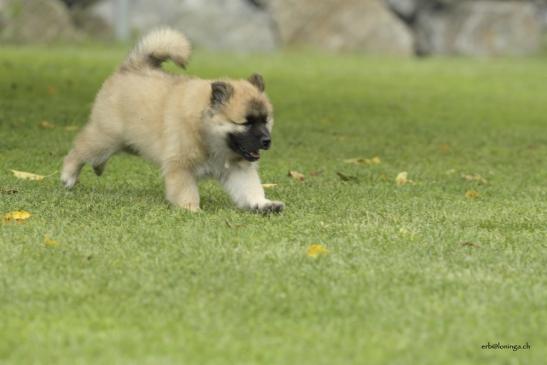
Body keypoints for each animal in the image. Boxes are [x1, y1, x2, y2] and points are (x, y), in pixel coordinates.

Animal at [62, 28, 284, 213]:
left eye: (265, 121)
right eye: (245, 123)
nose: (267, 141)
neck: (206, 133)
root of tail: (130, 67)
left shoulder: (239, 169)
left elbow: (250, 189)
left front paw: (263, 204)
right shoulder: (181, 167)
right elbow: (187, 192)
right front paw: (192, 210)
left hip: (128, 143)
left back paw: (97, 167)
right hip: (106, 137)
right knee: (80, 149)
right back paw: (68, 175)